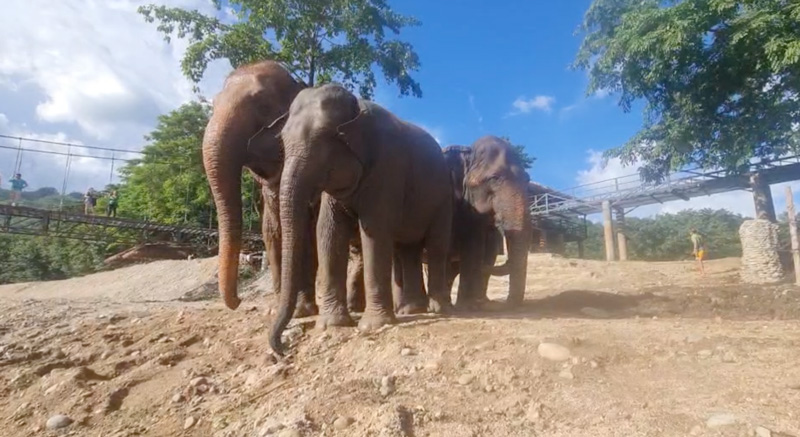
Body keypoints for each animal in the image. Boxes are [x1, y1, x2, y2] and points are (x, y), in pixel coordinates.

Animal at [200, 59, 322, 316]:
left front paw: (303, 310)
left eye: (264, 106)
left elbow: (308, 234)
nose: (239, 300)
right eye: (214, 104)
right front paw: (278, 310)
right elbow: (272, 233)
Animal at [270, 82, 454, 354]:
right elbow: (328, 232)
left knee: (437, 245)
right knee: (407, 250)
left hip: (442, 199)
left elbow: (374, 232)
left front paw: (373, 326)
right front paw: (332, 325)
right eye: (282, 140)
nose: (282, 350)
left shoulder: (387, 168)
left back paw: (440, 309)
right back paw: (411, 310)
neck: (356, 106)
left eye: (324, 137)